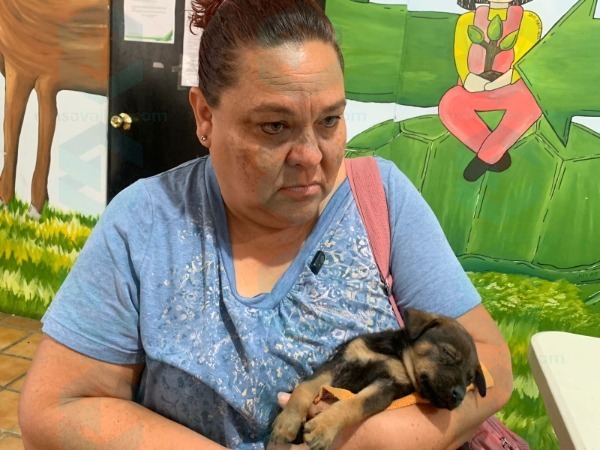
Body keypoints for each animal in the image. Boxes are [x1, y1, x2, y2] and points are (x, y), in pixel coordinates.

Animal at [269, 308, 487, 450]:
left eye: (469, 379)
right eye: (448, 353)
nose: (460, 396)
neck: (393, 354)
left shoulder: (387, 387)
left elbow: (353, 405)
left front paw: (323, 428)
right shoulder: (339, 362)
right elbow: (305, 387)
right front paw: (287, 422)